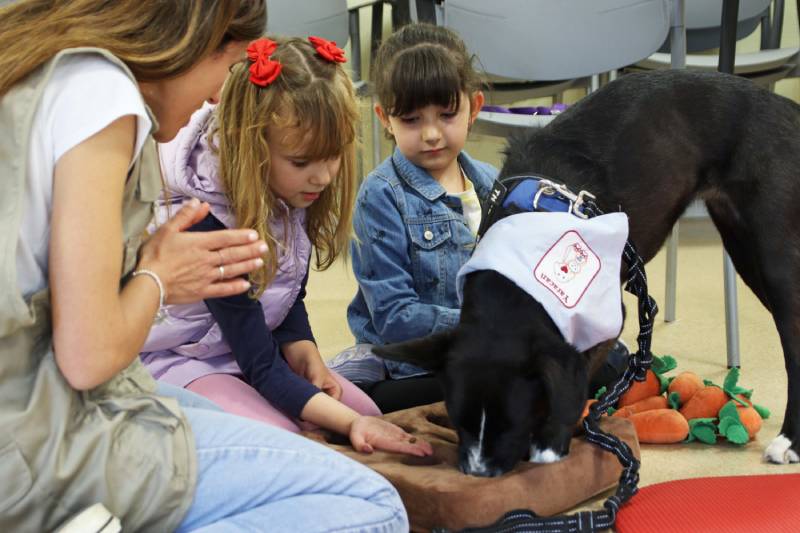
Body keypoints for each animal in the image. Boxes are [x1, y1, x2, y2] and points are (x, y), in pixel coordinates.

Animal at [376, 68, 800, 476]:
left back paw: (788, 441)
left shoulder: (607, 321)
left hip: (774, 259)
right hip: (742, 246)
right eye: (458, 421)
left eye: (512, 424)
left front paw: (552, 444)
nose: (478, 474)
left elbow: (572, 386)